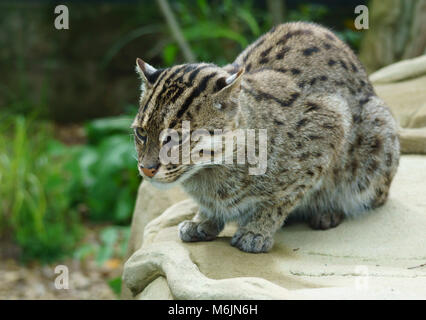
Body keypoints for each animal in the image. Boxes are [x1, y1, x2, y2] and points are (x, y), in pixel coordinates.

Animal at [132, 21, 400, 252]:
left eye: (176, 137)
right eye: (141, 133)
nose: (146, 168)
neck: (211, 168)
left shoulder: (332, 122)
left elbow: (283, 197)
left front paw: (257, 229)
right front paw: (204, 219)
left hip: (377, 135)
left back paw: (328, 211)